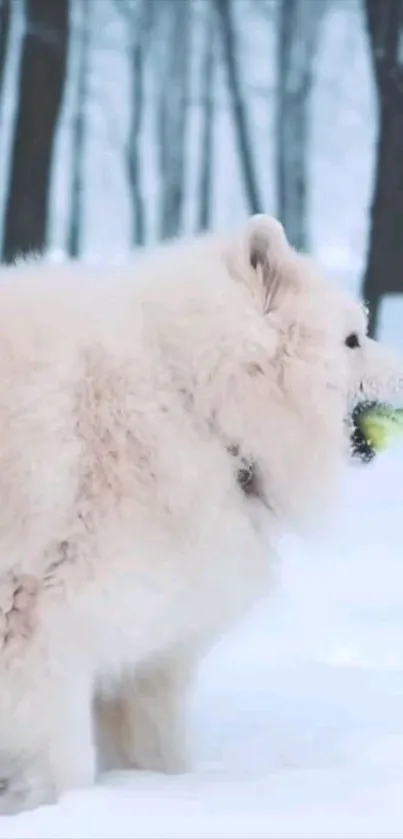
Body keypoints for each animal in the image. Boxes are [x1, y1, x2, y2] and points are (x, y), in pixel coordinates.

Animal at [0, 217, 400, 812]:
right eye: (352, 340)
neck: (191, 398)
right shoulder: (45, 633)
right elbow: (62, 760)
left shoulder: (149, 647)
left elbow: (155, 751)